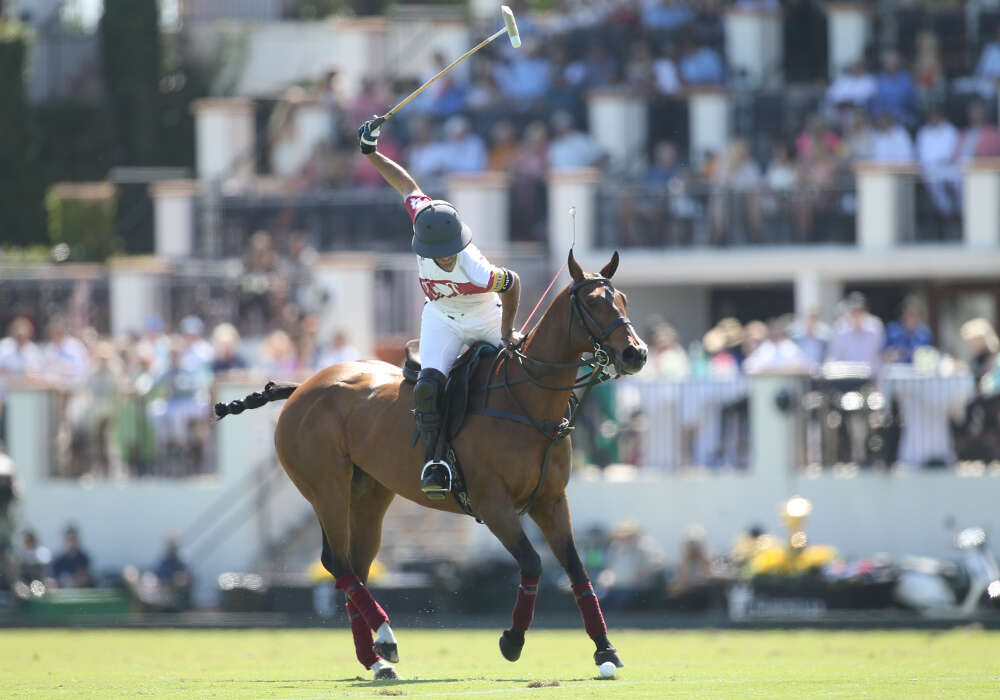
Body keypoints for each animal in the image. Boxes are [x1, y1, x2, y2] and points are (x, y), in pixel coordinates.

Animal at [219, 250, 648, 680]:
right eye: (593, 302)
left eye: (624, 299)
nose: (637, 353)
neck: (527, 400)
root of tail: (301, 388)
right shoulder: (493, 502)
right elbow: (532, 562)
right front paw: (512, 641)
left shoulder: (551, 501)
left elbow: (576, 569)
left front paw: (606, 650)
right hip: (325, 488)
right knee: (335, 561)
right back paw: (386, 639)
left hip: (369, 493)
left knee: (355, 566)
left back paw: (374, 659)